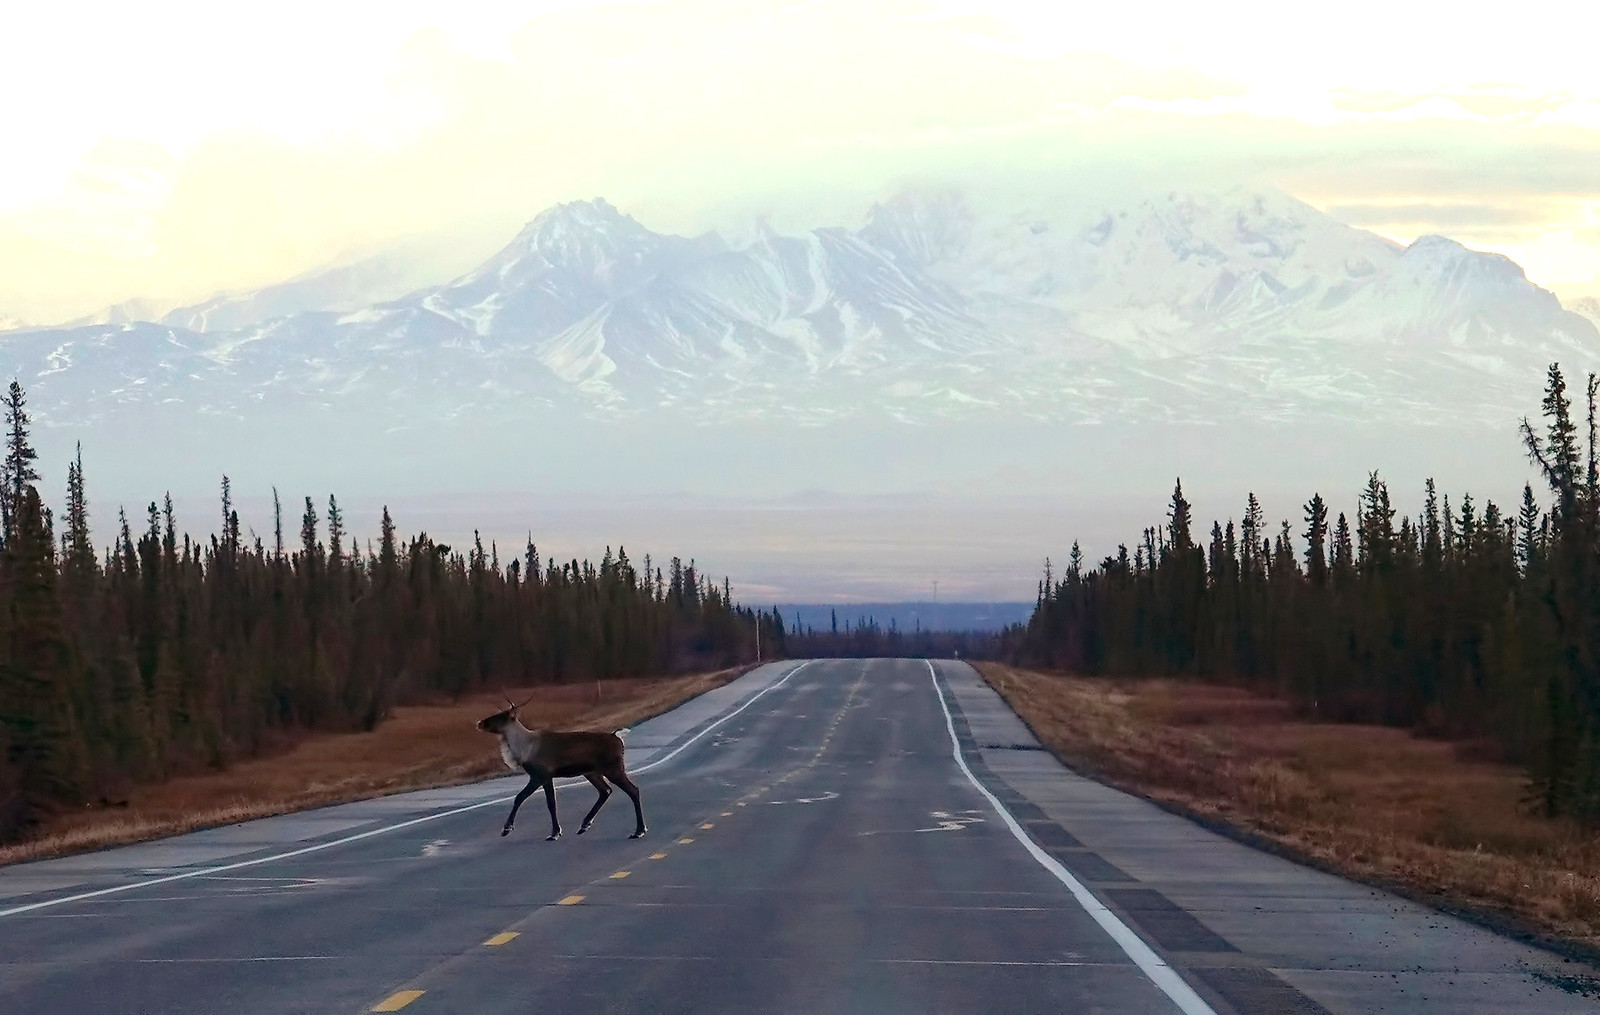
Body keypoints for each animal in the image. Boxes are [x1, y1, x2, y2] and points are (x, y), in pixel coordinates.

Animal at [476, 692, 647, 841]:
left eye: (499, 716)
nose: (480, 722)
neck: (524, 748)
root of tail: (618, 738)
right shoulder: (547, 777)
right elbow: (551, 803)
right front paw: (555, 832)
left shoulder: (539, 775)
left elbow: (520, 798)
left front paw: (507, 828)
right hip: (592, 772)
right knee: (605, 791)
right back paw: (585, 824)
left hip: (613, 768)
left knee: (633, 790)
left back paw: (639, 830)